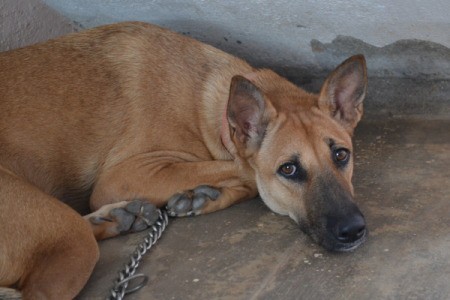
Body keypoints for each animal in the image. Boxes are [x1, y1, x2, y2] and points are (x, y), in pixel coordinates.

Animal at [0, 22, 366, 298]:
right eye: (288, 169)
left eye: (341, 155)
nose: (354, 230)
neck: (209, 106)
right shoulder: (123, 175)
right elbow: (244, 171)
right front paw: (210, 192)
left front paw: (202, 197)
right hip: (69, 237)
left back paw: (118, 217)